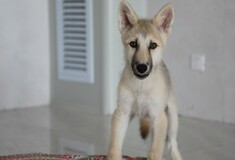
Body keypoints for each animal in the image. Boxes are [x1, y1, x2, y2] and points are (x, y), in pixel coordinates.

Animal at [108, 0, 182, 160]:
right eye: (133, 44)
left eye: (153, 45)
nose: (141, 67)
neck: (141, 87)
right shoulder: (121, 113)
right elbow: (114, 147)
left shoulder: (159, 117)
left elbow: (155, 152)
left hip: (172, 118)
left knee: (172, 143)